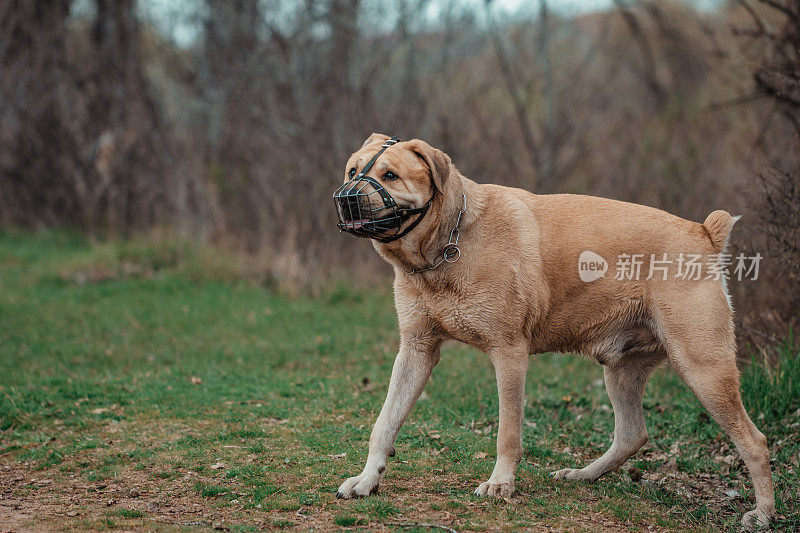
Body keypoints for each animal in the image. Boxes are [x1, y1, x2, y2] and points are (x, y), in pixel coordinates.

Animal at [332, 133, 776, 528]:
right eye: (352, 170)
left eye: (390, 175)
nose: (347, 197)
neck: (449, 245)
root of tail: (704, 233)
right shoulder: (416, 350)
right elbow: (384, 422)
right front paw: (367, 479)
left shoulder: (509, 354)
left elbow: (508, 431)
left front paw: (501, 484)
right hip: (622, 372)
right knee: (632, 434)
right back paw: (583, 475)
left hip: (703, 367)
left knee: (754, 441)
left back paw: (764, 514)